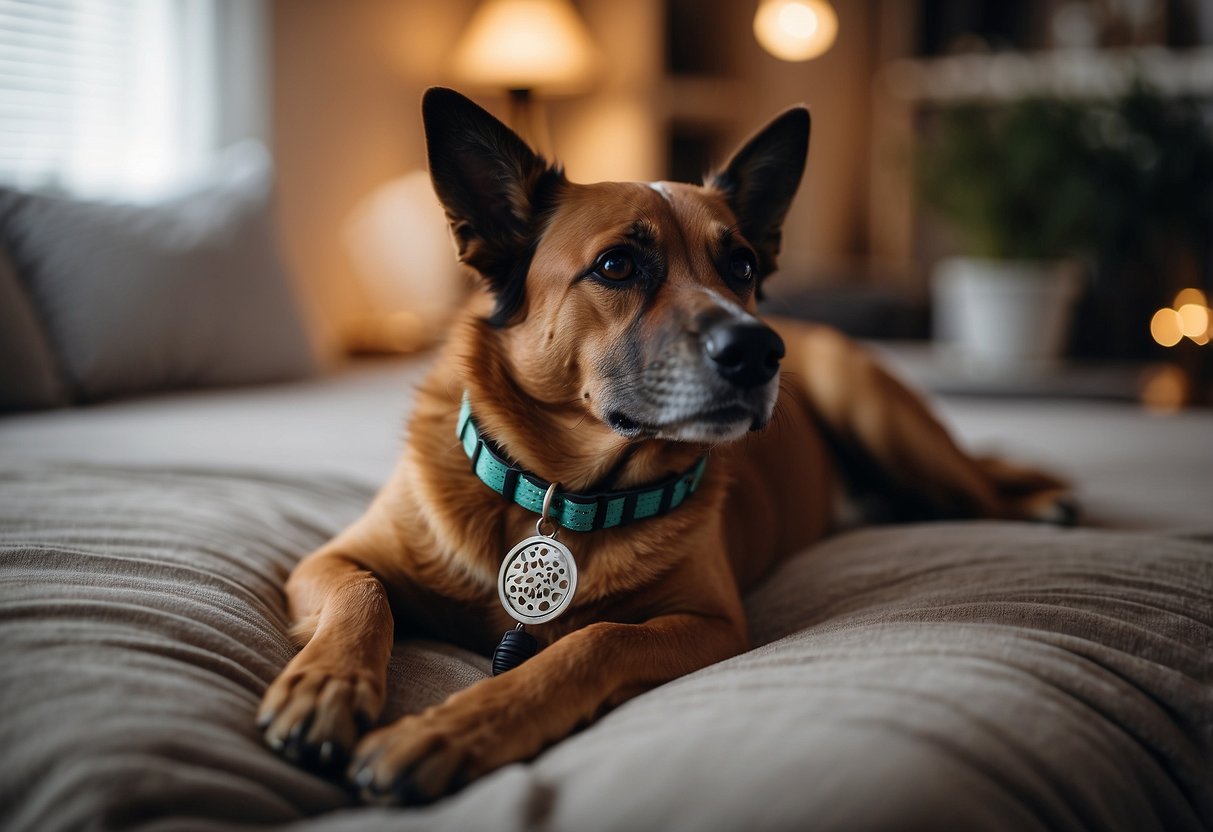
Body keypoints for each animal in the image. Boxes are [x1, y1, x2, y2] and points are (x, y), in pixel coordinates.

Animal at [258, 86, 1072, 810]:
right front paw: (325, 687)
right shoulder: (327, 560)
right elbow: (364, 596)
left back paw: (1040, 504)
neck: (563, 491)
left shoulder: (710, 624)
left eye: (741, 266)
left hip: (877, 411)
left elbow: (595, 641)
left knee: (974, 487)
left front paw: (452, 729)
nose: (758, 351)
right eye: (617, 265)